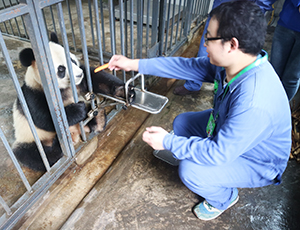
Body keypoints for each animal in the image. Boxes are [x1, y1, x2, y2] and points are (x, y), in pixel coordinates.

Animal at [12, 32, 135, 172]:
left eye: (72, 60)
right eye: (61, 69)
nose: (79, 74)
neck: (62, 88)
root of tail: (77, 133)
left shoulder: (80, 82)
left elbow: (96, 78)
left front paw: (125, 92)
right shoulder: (32, 93)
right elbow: (43, 118)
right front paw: (77, 110)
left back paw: (98, 119)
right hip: (29, 137)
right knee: (33, 155)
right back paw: (59, 144)